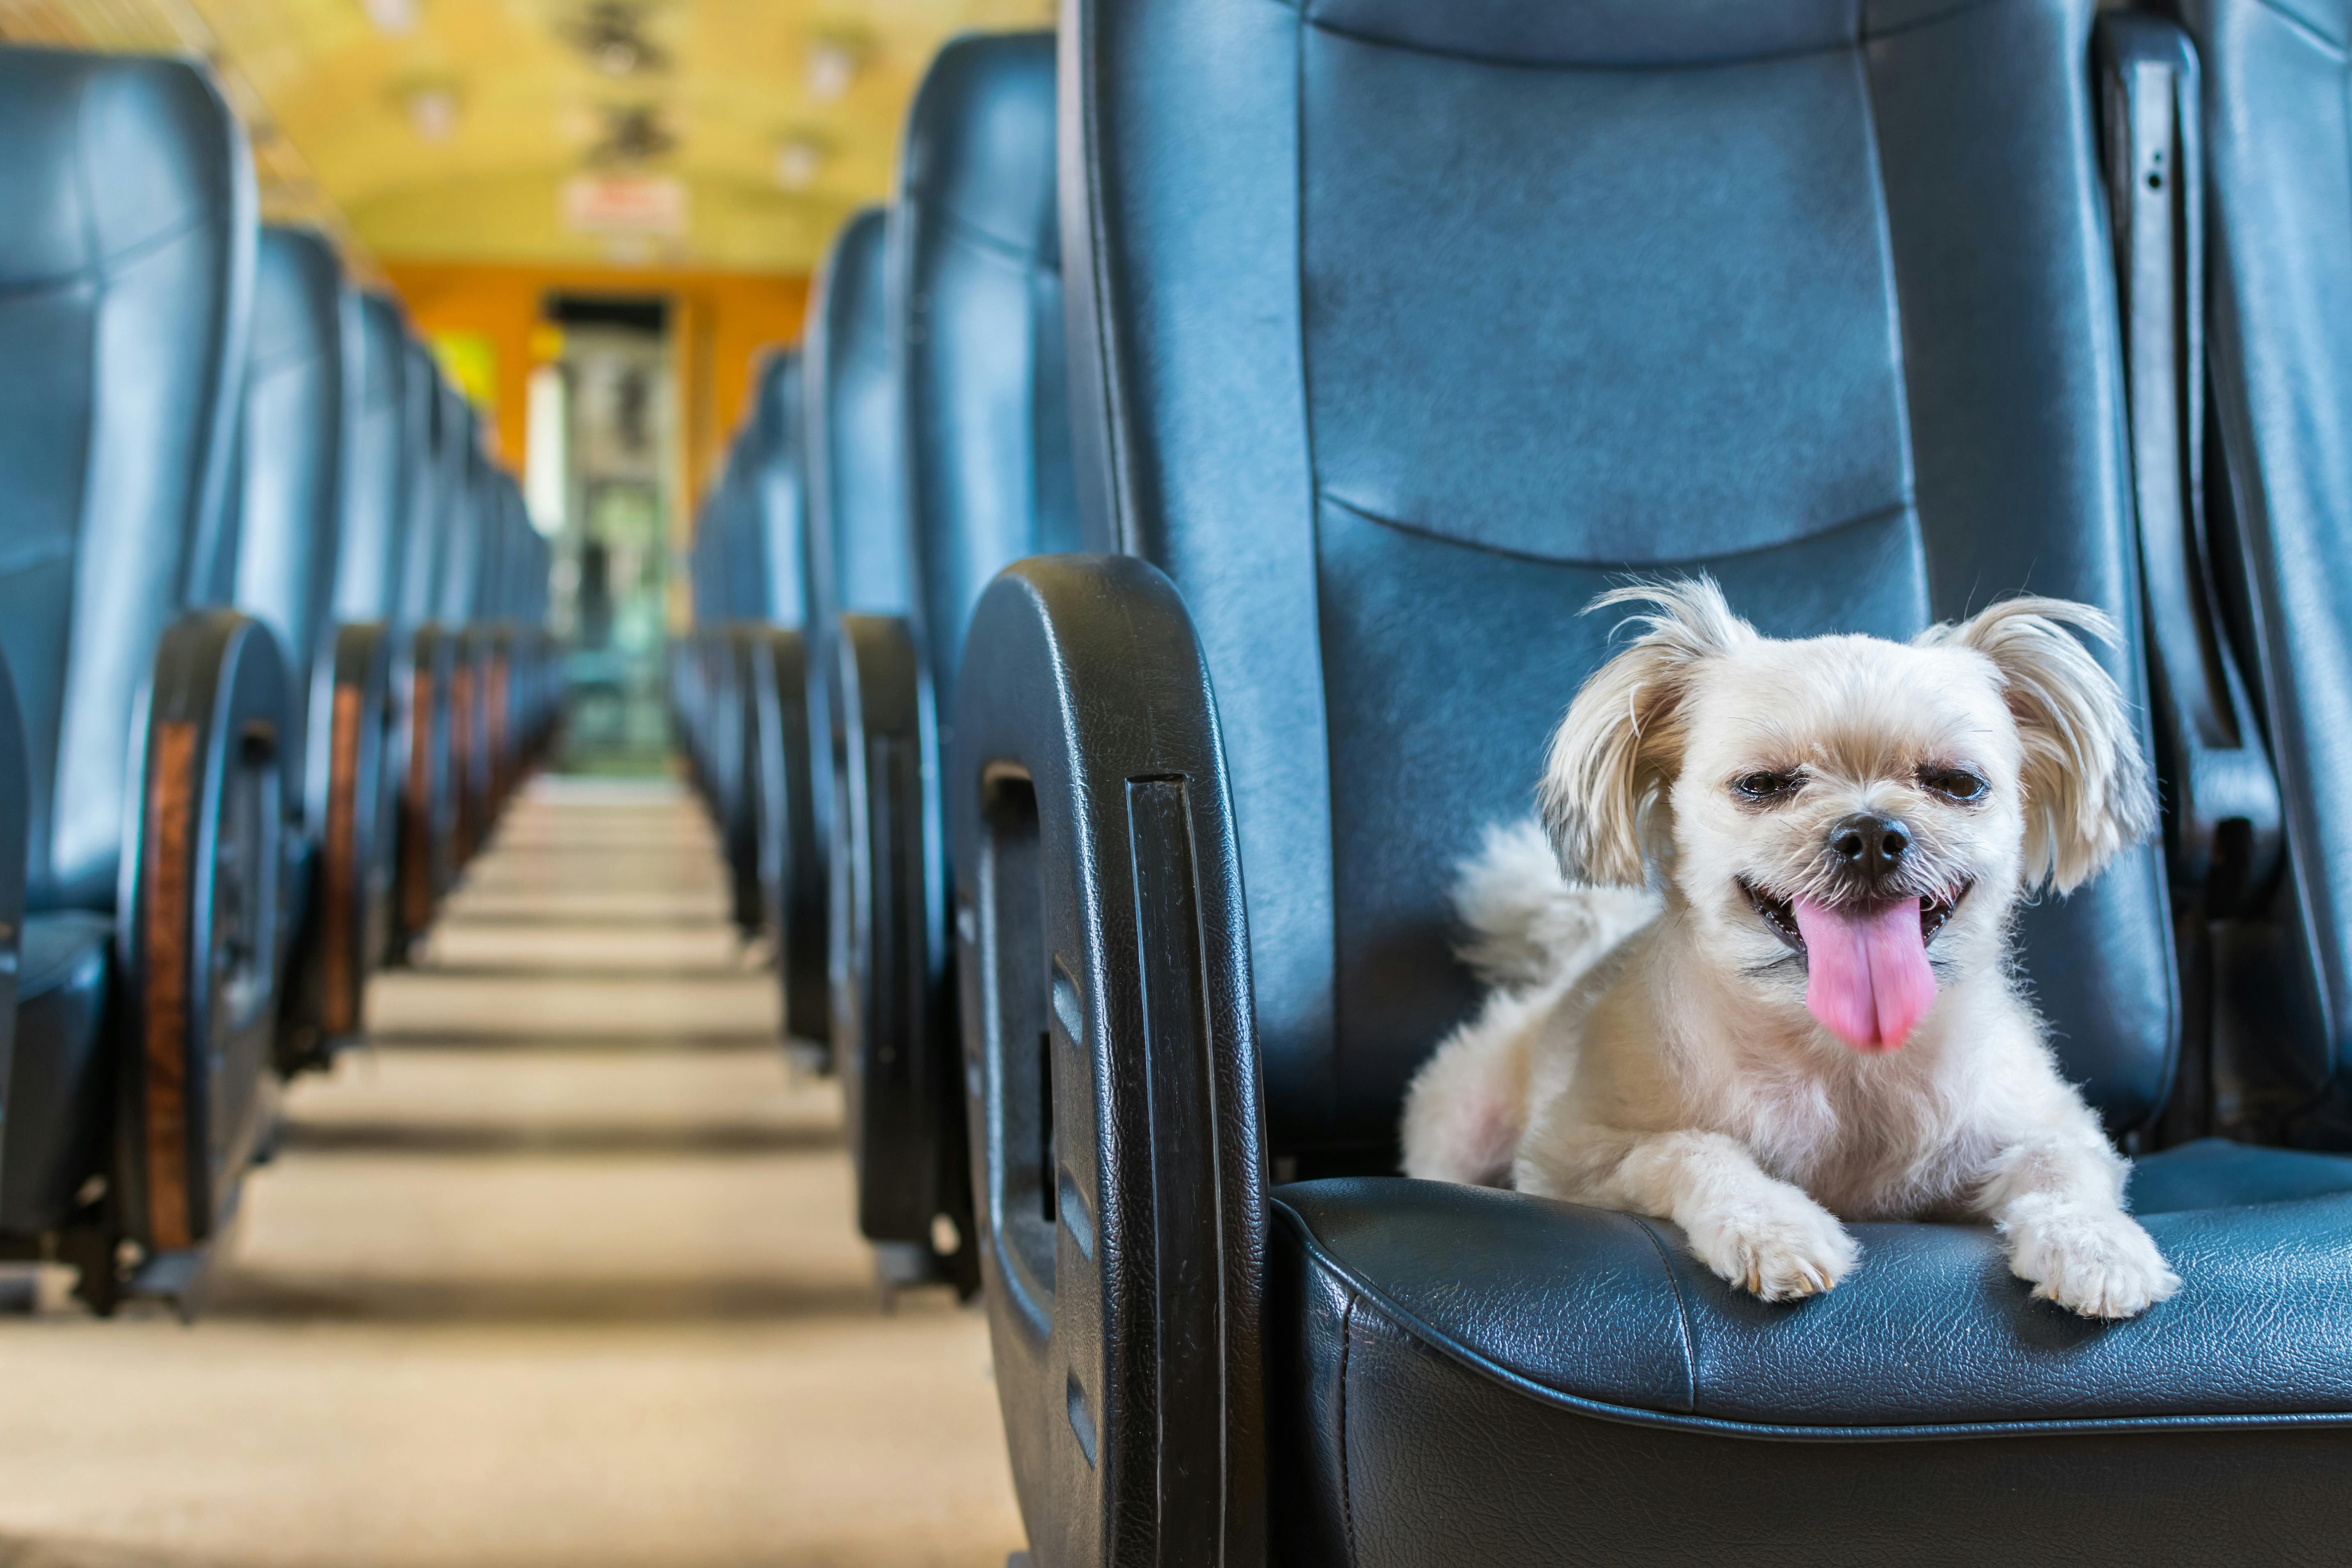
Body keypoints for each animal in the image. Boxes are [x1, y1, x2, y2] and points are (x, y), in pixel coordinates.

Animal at [1392, 583, 2183, 1316]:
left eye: (1958, 784)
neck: (1841, 1057)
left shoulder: (2054, 1128)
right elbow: (1689, 1149)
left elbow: (2062, 1172)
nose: (1871, 832)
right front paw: (1771, 1227)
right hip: (1465, 1125)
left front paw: (2095, 1245)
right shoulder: (1574, 1159)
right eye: (1763, 785)